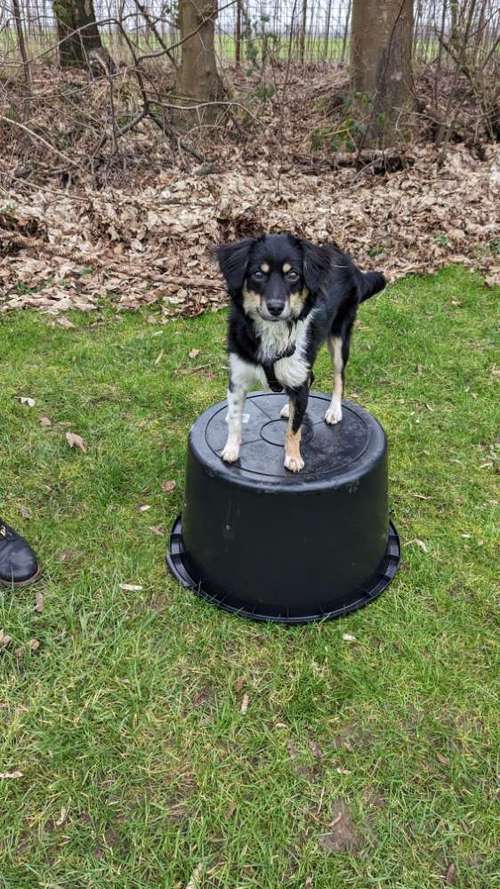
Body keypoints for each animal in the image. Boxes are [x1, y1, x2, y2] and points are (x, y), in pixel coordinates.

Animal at [216, 234, 386, 472]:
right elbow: (234, 418)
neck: (273, 330)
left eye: (293, 274)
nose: (275, 307)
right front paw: (231, 449)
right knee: (309, 381)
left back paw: (334, 410)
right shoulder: (238, 378)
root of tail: (347, 260)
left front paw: (293, 457)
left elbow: (293, 429)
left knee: (339, 377)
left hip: (338, 338)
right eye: (258, 274)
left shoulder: (299, 374)